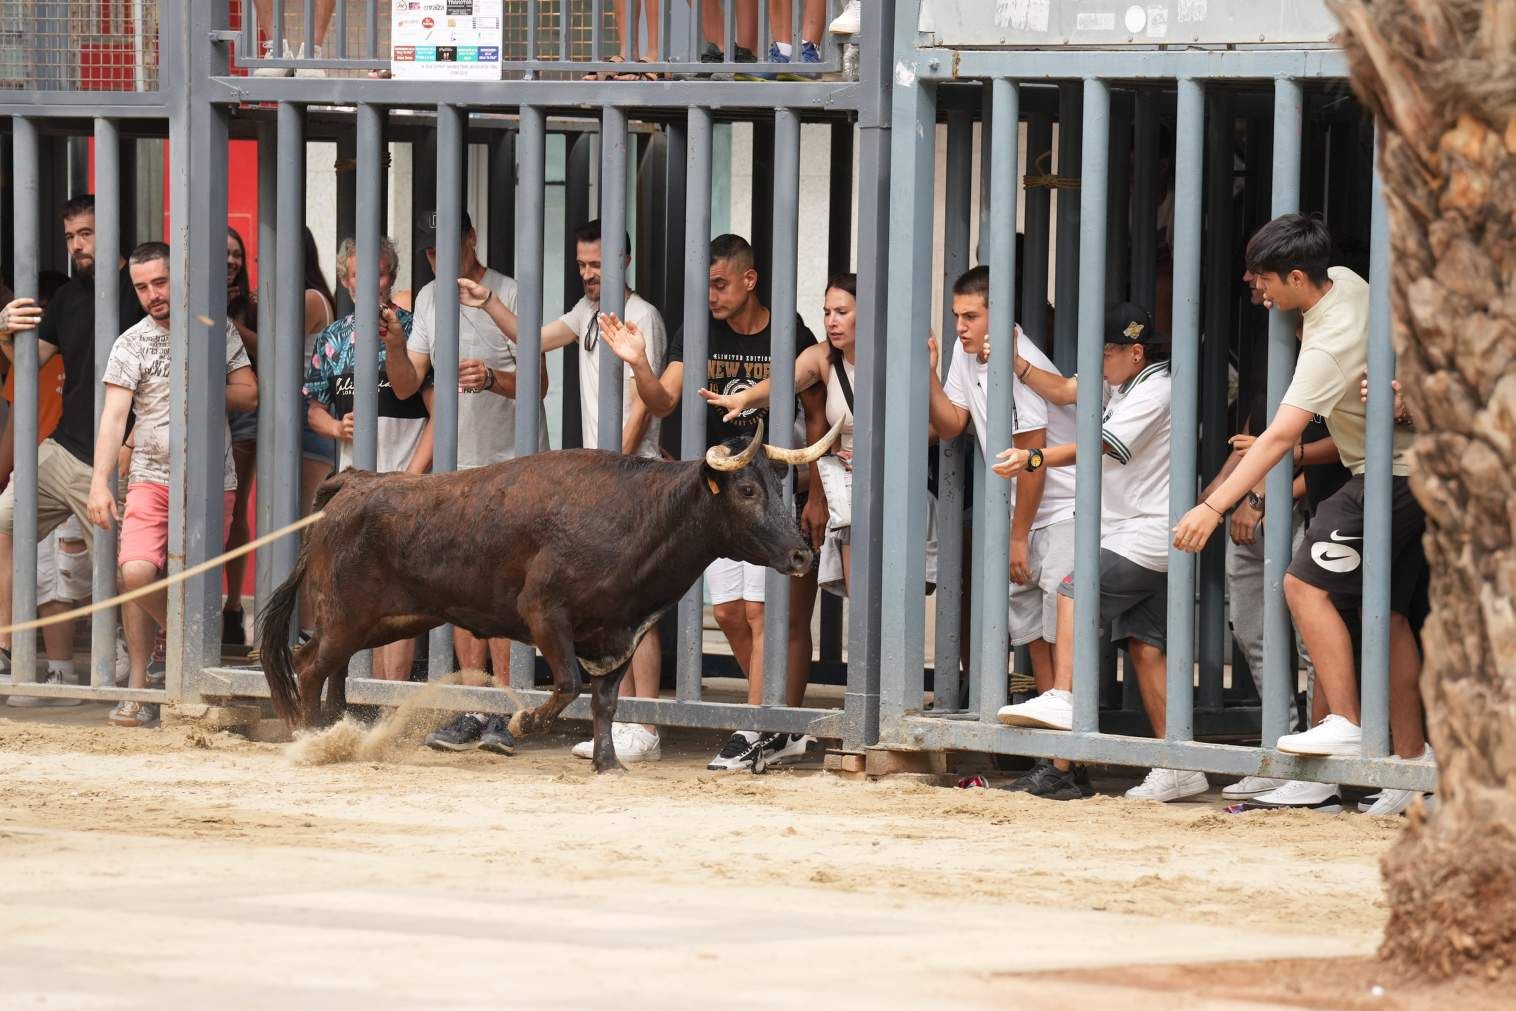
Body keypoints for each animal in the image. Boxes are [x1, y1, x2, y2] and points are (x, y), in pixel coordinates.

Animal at [257, 415, 842, 769]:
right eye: (745, 489)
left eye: (782, 489)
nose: (801, 555)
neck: (641, 515)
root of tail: (355, 482)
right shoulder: (544, 613)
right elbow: (568, 684)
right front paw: (525, 721)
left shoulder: (619, 635)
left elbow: (605, 700)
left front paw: (608, 764)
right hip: (346, 617)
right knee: (307, 663)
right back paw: (308, 738)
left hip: (383, 622)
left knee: (326, 665)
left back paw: (336, 732)